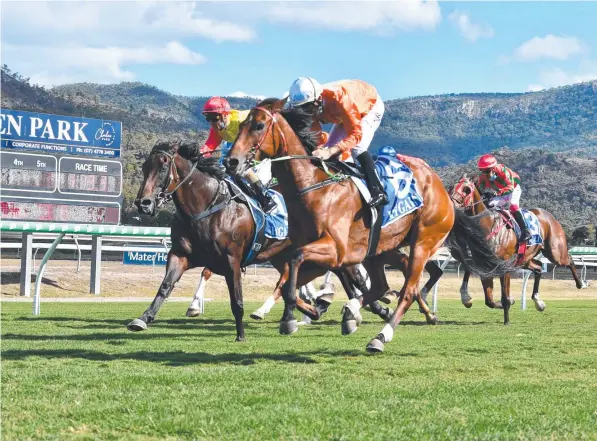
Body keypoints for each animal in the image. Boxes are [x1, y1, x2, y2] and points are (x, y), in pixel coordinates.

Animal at [224, 99, 508, 350]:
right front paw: (310, 310)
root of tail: (444, 192)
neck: (314, 187)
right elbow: (286, 282)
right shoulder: (326, 255)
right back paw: (353, 312)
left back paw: (380, 336)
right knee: (381, 285)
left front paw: (292, 317)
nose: (231, 161)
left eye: (259, 125)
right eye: (240, 126)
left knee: (408, 289)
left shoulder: (335, 250)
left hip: (423, 241)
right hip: (379, 249)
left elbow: (294, 262)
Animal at [450, 174, 580, 324]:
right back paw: (538, 301)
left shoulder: (504, 265)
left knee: (569, 260)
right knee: (538, 267)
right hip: (524, 259)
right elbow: (489, 300)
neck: (487, 224)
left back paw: (581, 283)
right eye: (451, 187)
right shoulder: (484, 265)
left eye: (466, 189)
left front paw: (507, 319)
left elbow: (503, 297)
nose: (451, 204)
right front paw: (467, 298)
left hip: (555, 252)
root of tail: (547, 214)